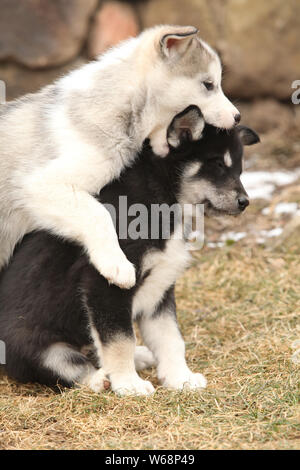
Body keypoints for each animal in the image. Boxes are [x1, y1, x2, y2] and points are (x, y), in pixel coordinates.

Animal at [0, 107, 258, 396]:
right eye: (217, 165)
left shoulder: (160, 288)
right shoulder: (105, 288)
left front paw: (180, 378)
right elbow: (120, 340)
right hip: (38, 347)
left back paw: (139, 357)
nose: (245, 202)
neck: (162, 200)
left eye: (238, 169)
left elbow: (171, 339)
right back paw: (99, 379)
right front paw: (129, 384)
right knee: (68, 365)